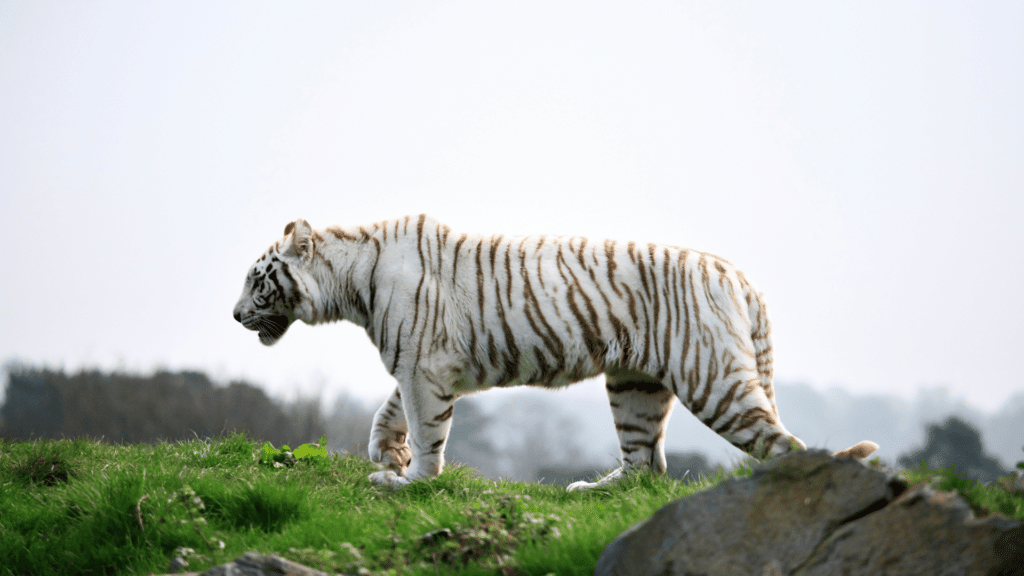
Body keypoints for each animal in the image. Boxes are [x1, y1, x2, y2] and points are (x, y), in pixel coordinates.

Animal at [234, 215, 880, 487]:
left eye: (256, 279)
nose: (235, 315)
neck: (351, 283)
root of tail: (738, 275)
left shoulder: (423, 366)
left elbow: (427, 428)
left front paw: (411, 479)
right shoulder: (418, 365)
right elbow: (390, 410)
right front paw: (386, 453)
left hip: (713, 380)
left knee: (786, 445)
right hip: (634, 385)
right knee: (647, 464)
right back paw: (595, 489)